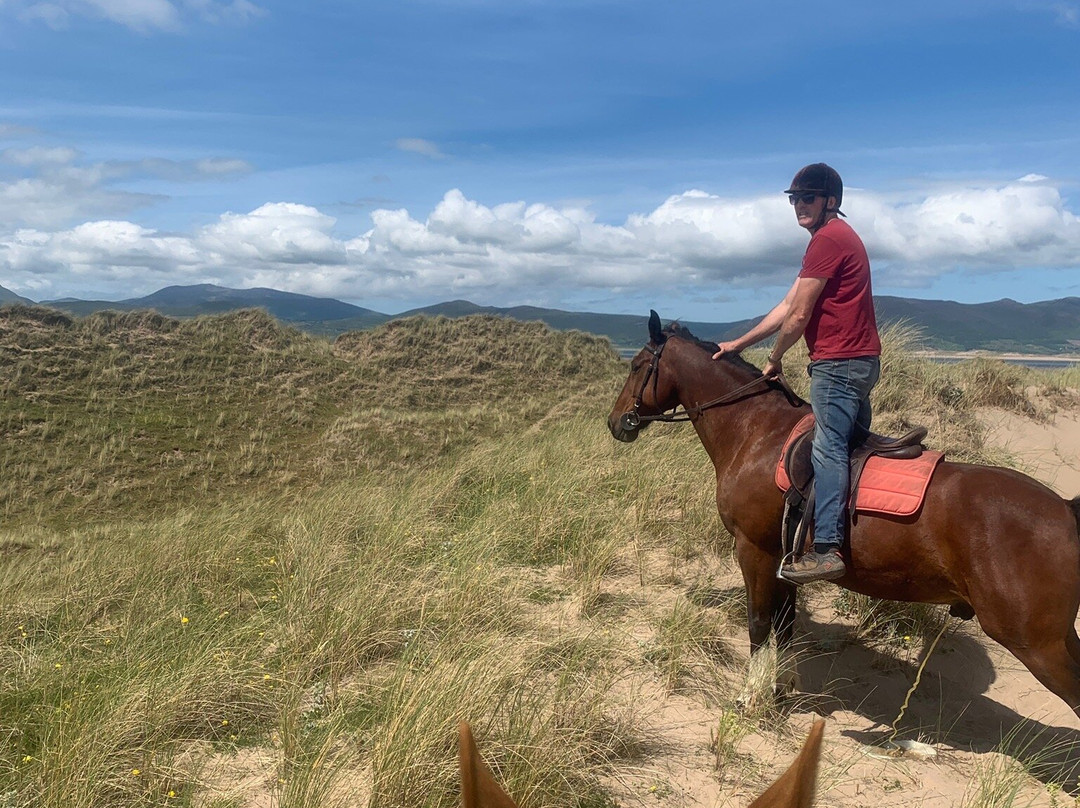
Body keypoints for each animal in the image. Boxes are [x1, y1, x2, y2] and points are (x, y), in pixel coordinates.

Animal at [609, 313, 1080, 717]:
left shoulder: (753, 549)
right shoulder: (786, 558)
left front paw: (750, 696)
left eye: (636, 365)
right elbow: (785, 625)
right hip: (1059, 638)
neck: (757, 432)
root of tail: (1065, 509)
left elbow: (760, 624)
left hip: (1037, 643)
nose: (616, 423)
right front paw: (782, 686)